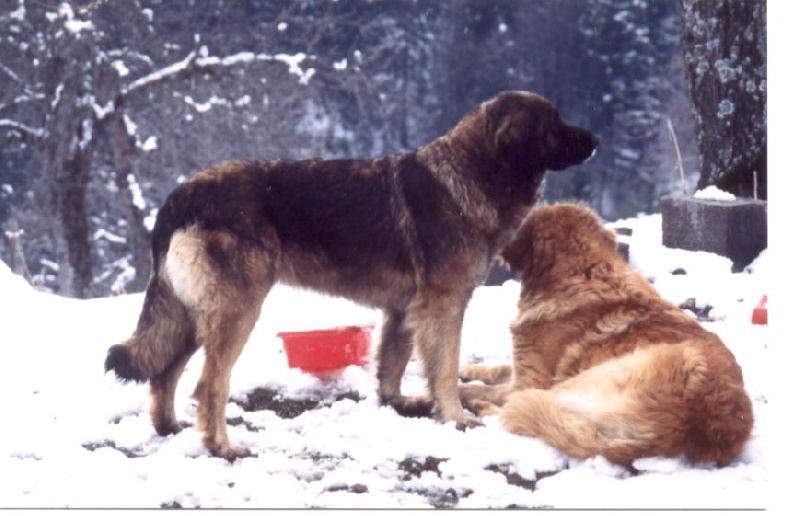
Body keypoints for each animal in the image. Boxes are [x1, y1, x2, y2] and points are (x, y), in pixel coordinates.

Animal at [104, 90, 592, 458]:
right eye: (553, 123)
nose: (594, 139)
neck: (475, 171)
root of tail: (183, 194)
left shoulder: (404, 310)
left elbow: (393, 362)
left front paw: (400, 404)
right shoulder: (444, 303)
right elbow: (446, 367)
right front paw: (454, 416)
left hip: (191, 313)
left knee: (164, 371)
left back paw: (170, 427)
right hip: (236, 310)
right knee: (209, 384)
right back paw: (222, 447)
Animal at [460, 204, 752, 466]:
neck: (585, 274)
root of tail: (690, 425)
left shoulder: (528, 381)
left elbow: (485, 388)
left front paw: (460, 391)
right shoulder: (522, 369)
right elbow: (496, 368)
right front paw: (467, 370)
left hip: (578, 381)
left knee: (519, 410)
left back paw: (480, 409)